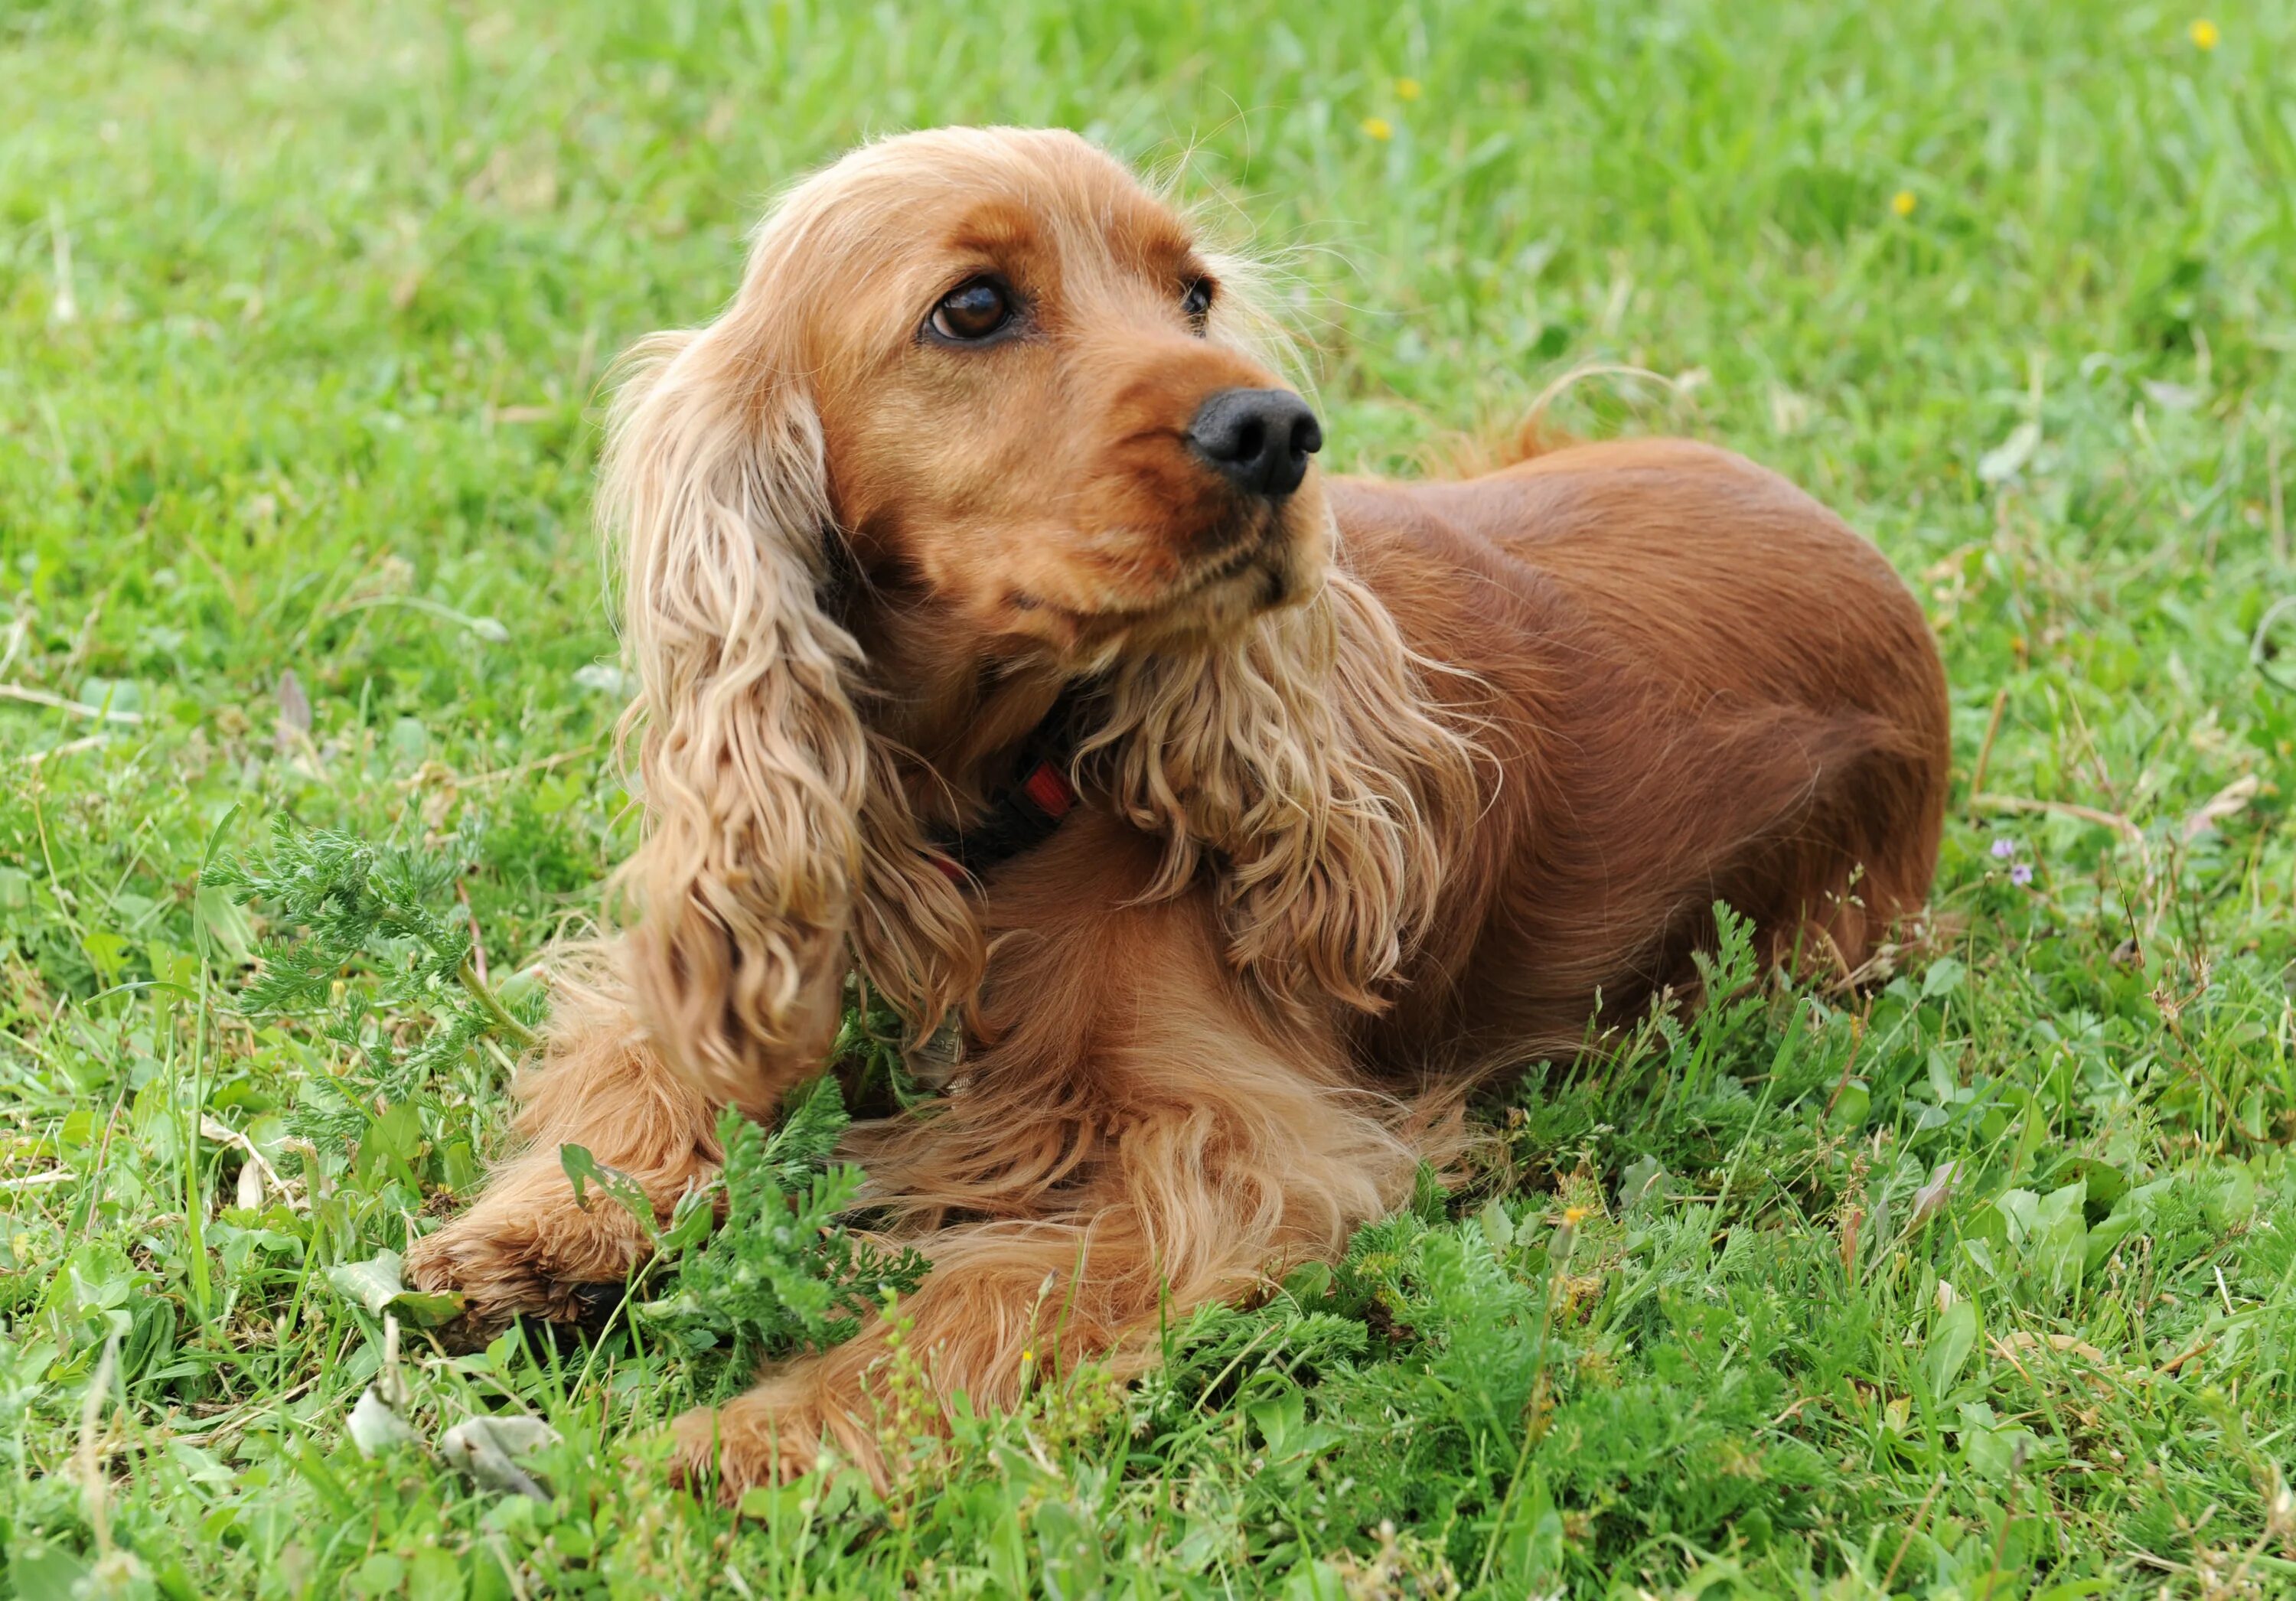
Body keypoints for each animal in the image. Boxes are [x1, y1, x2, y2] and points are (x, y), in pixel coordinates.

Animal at [404, 122, 1947, 1488]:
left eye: (1192, 293)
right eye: (974, 308)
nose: (1275, 429)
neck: (983, 804)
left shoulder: (1240, 1152)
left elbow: (991, 1297)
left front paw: (768, 1438)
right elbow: (650, 1061)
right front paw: (535, 1234)